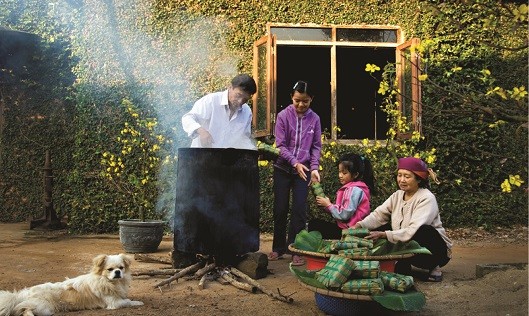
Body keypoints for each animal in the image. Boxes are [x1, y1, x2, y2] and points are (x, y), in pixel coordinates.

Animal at [0, 254, 142, 316]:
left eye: (121, 268)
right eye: (110, 269)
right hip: (43, 308)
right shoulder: (114, 303)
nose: (118, 272)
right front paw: (139, 303)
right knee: (24, 310)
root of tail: (23, 294)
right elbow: (128, 301)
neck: (111, 282)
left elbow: (126, 298)